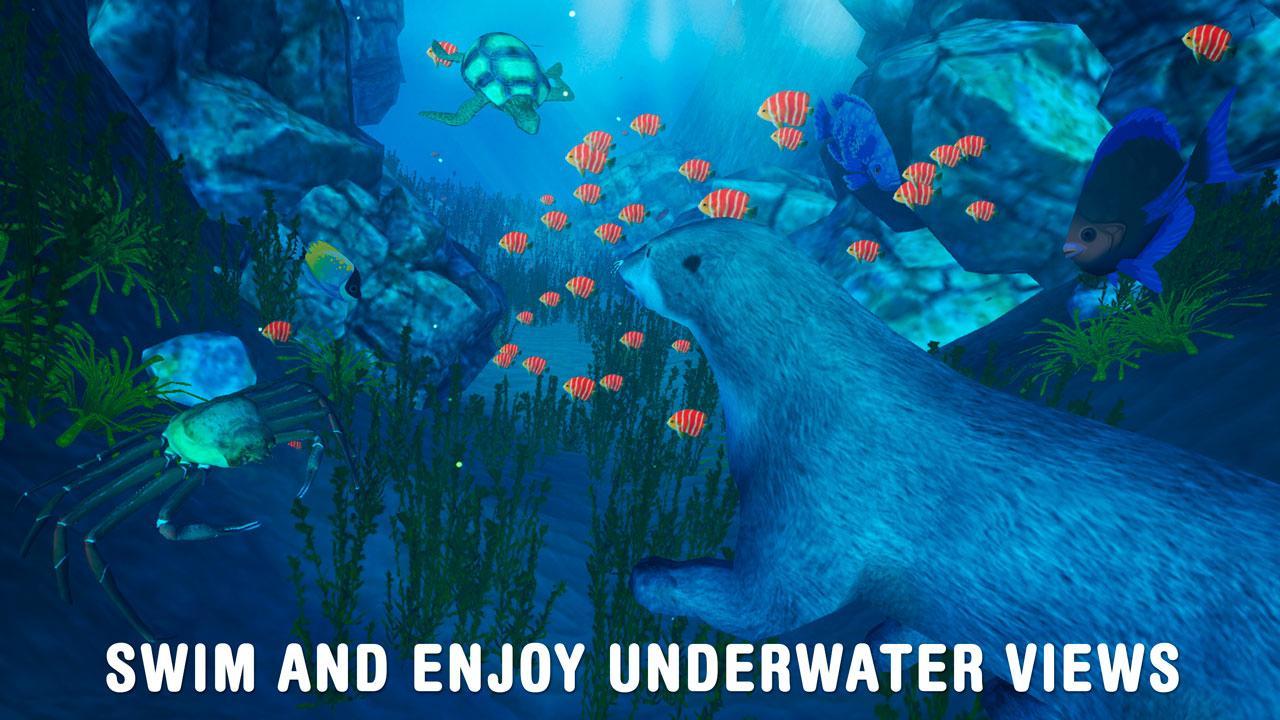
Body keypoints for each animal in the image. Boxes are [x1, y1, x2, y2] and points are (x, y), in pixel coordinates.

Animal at [619, 220, 1280, 718]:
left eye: (654, 250)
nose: (621, 258)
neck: (812, 393)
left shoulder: (821, 490)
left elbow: (769, 604)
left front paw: (653, 578)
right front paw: (887, 645)